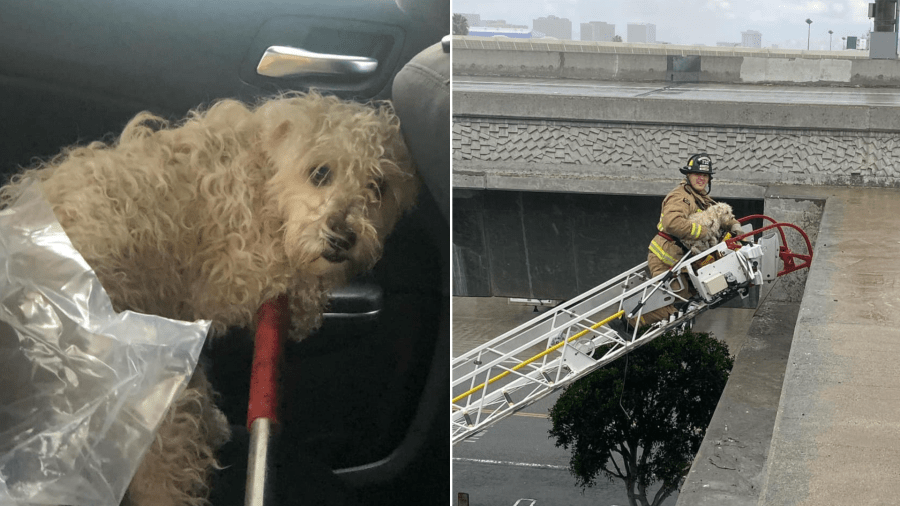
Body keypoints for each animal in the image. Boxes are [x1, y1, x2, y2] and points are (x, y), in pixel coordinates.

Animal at [0, 93, 420, 504]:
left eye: (379, 187)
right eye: (320, 173)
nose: (342, 237)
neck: (262, 172)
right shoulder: (237, 269)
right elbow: (285, 274)